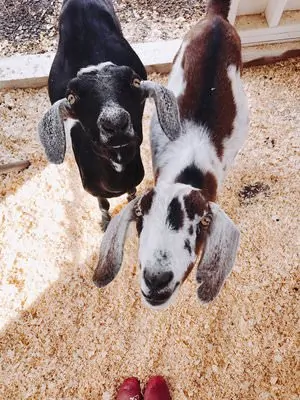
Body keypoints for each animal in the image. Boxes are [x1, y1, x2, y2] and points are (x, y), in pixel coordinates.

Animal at [38, 0, 148, 230]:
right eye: (71, 97)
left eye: (135, 81)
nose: (115, 123)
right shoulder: (91, 185)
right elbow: (103, 203)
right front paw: (105, 222)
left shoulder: (136, 173)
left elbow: (132, 192)